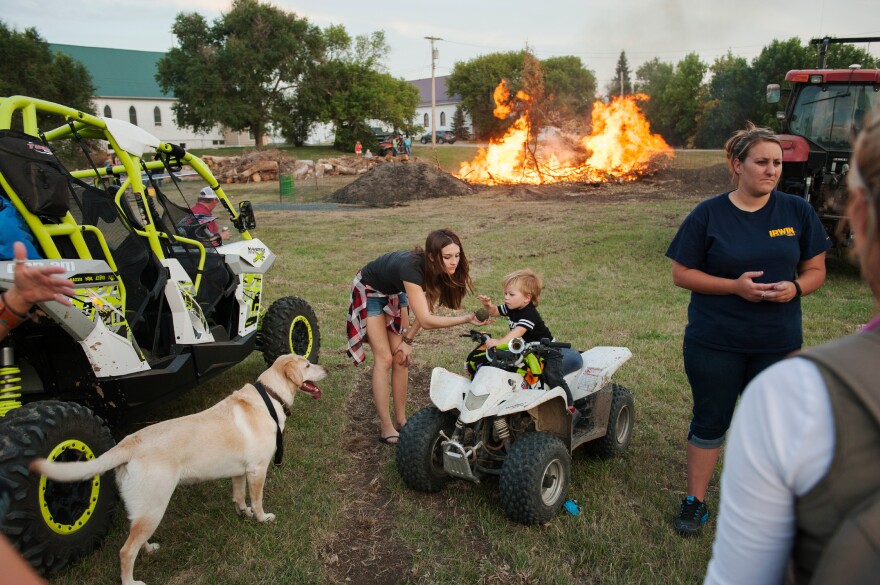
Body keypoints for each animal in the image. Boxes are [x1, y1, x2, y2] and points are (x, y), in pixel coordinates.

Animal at [31, 354, 328, 580]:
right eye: (307, 365)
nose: (325, 367)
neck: (271, 396)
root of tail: (129, 442)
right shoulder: (257, 470)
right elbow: (257, 499)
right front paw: (261, 518)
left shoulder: (239, 472)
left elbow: (238, 496)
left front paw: (242, 512)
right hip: (155, 506)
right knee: (125, 552)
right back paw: (131, 581)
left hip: (143, 509)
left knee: (135, 536)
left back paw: (149, 548)